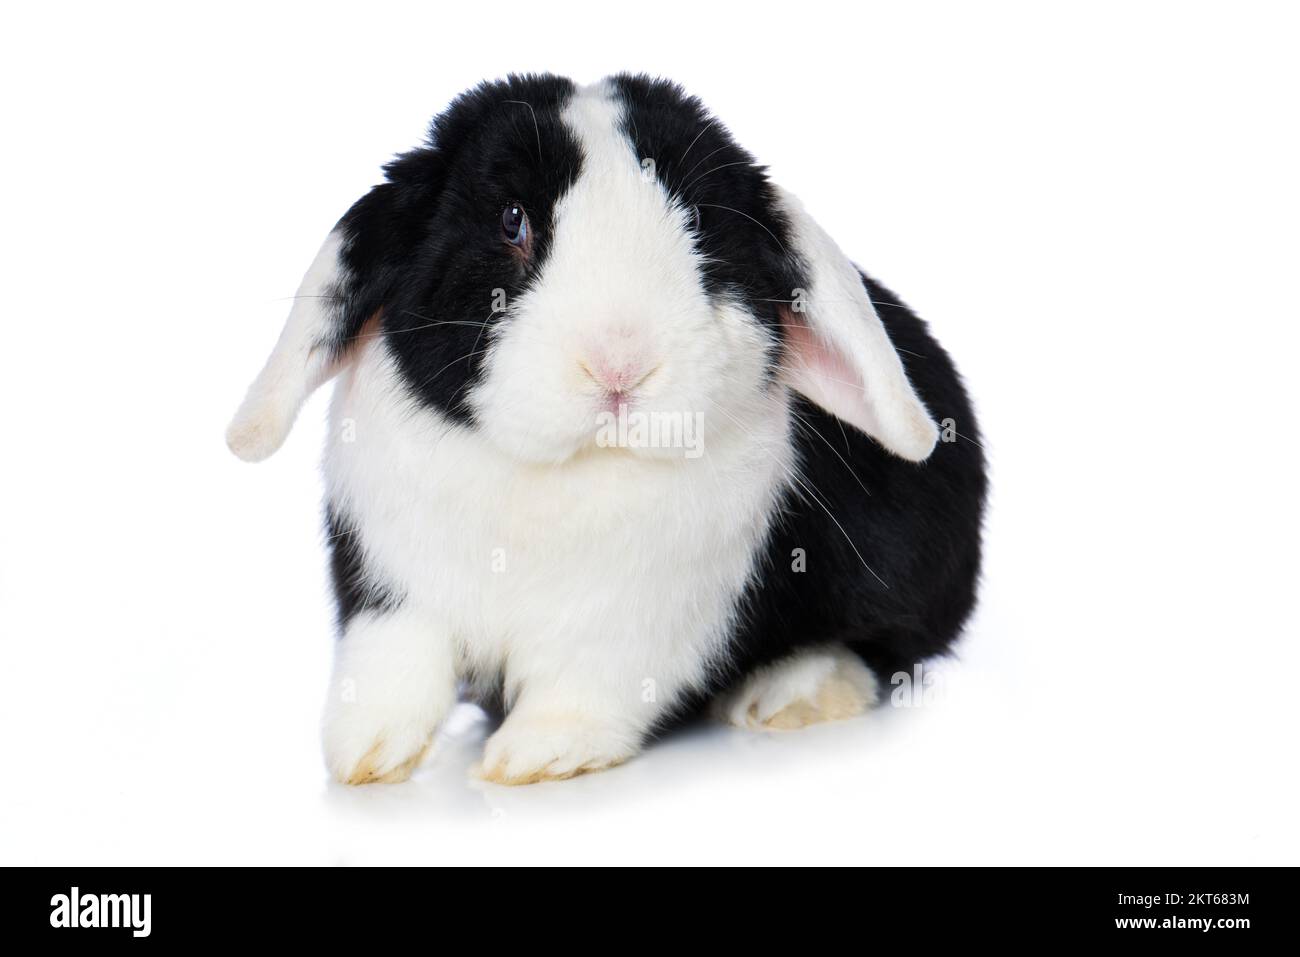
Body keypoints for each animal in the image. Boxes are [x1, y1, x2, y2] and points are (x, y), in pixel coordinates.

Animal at [227, 74, 987, 786]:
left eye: (698, 224)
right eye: (512, 221)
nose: (620, 362)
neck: (559, 470)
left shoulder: (639, 623)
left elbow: (588, 685)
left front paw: (535, 755)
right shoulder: (390, 582)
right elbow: (392, 662)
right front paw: (363, 754)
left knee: (885, 647)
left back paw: (794, 692)